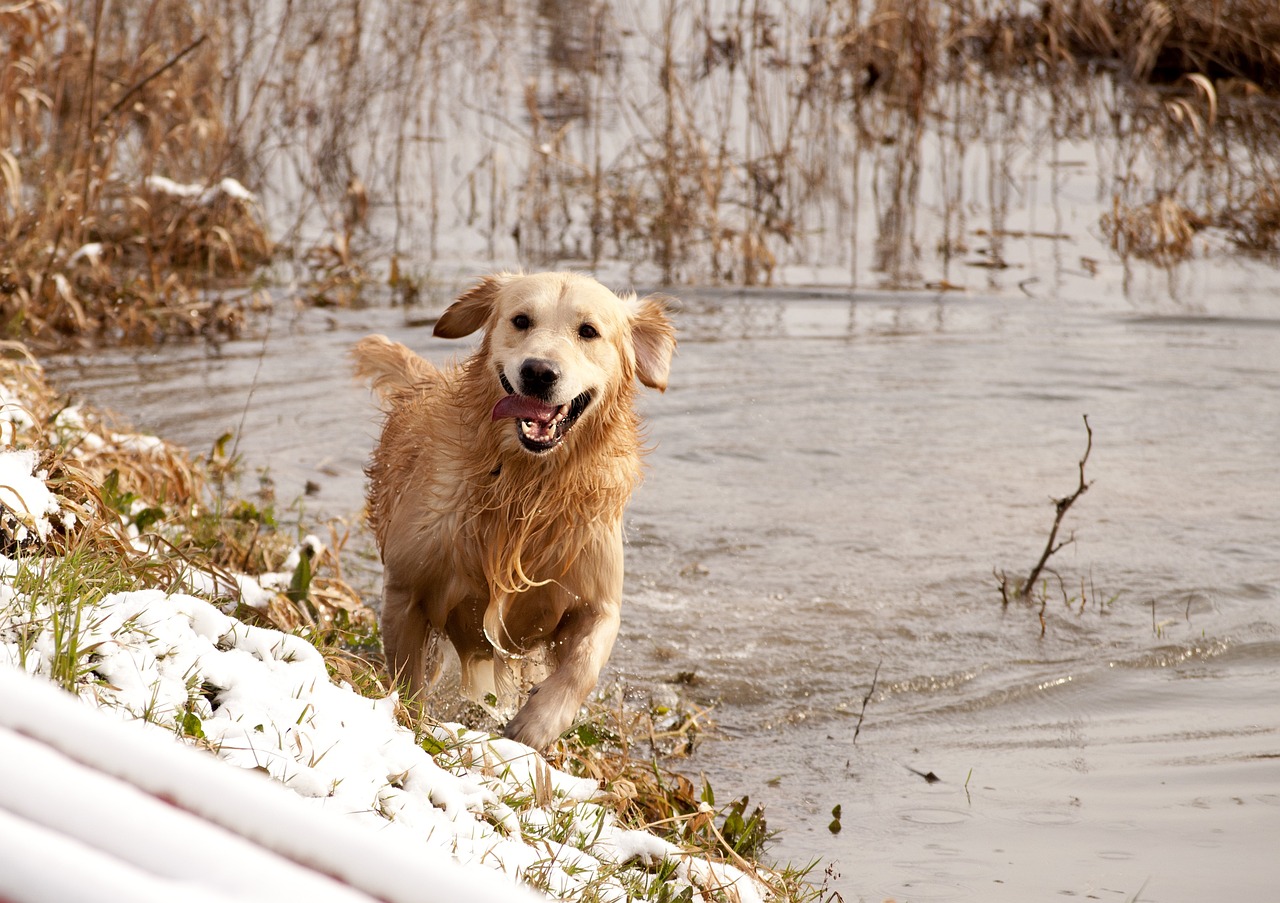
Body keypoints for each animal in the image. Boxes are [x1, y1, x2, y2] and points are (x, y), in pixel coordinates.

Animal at [345, 271, 675, 748]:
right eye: (521, 320)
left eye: (588, 331)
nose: (539, 372)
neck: (524, 484)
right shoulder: (407, 592)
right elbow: (408, 677)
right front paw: (412, 724)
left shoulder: (597, 599)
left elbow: (582, 665)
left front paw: (537, 724)